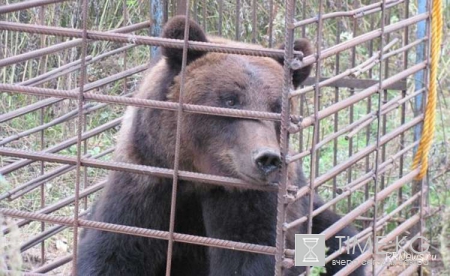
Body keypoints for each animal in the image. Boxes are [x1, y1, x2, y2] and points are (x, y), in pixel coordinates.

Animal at [77, 16, 366, 276]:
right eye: (230, 100)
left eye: (276, 107)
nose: (267, 158)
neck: (198, 177)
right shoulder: (146, 181)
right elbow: (112, 251)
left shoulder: (249, 201)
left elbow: (250, 255)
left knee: (342, 241)